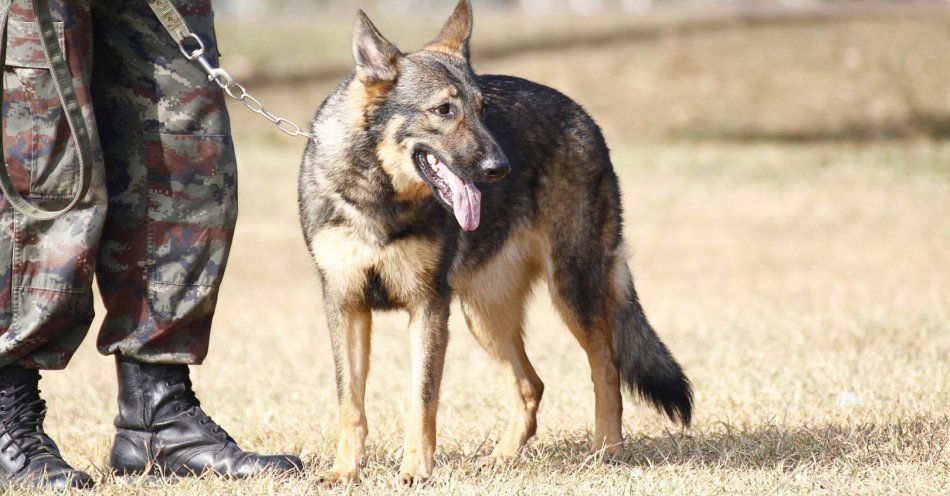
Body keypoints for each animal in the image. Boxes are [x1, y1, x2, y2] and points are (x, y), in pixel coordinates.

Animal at [298, 0, 692, 484]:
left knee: (606, 366)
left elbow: (422, 401)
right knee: (532, 384)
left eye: (482, 108)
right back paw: (503, 458)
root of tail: (583, 115)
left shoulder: (428, 308)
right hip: (485, 316)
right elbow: (350, 403)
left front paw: (415, 470)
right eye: (444, 109)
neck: (382, 199)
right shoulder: (345, 306)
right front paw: (344, 472)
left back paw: (606, 451)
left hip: (569, 292)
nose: (499, 168)